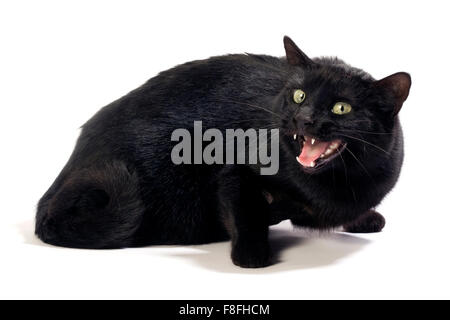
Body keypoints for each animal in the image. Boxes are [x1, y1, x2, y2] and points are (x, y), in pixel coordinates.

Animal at [36, 36, 412, 268]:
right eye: (299, 95)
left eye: (341, 108)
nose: (303, 118)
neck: (332, 188)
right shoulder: (237, 170)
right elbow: (246, 211)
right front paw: (251, 255)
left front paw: (365, 218)